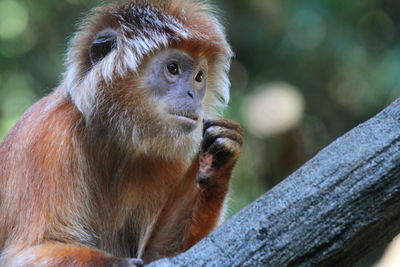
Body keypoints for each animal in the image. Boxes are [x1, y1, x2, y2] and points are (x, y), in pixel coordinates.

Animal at [0, 0, 242, 266]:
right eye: (173, 68)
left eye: (199, 77)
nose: (192, 94)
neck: (109, 136)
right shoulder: (49, 139)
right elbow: (27, 253)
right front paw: (120, 262)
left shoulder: (160, 160)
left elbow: (159, 254)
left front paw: (216, 162)